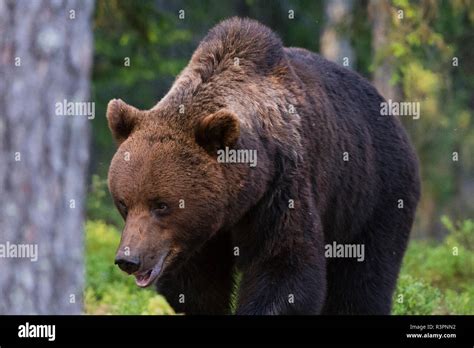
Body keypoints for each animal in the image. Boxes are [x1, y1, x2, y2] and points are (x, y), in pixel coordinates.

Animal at [106, 17, 418, 316]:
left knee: (364, 275)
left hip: (376, 192)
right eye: (123, 203)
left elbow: (284, 266)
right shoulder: (200, 236)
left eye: (161, 205)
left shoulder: (280, 187)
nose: (129, 259)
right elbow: (195, 287)